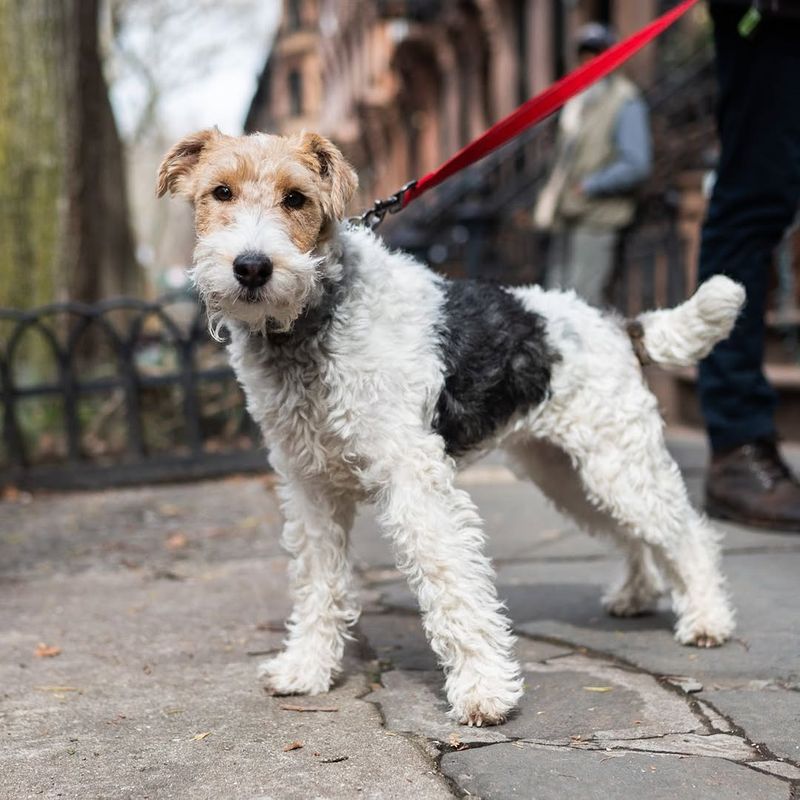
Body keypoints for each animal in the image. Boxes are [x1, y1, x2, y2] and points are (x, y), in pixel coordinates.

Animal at [158, 130, 744, 724]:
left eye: (296, 197)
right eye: (221, 191)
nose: (252, 268)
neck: (316, 317)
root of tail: (619, 325)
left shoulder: (412, 475)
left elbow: (450, 580)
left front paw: (484, 690)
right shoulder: (309, 484)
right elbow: (318, 581)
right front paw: (305, 669)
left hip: (616, 464)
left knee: (687, 533)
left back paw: (706, 619)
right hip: (568, 474)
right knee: (637, 536)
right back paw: (635, 595)